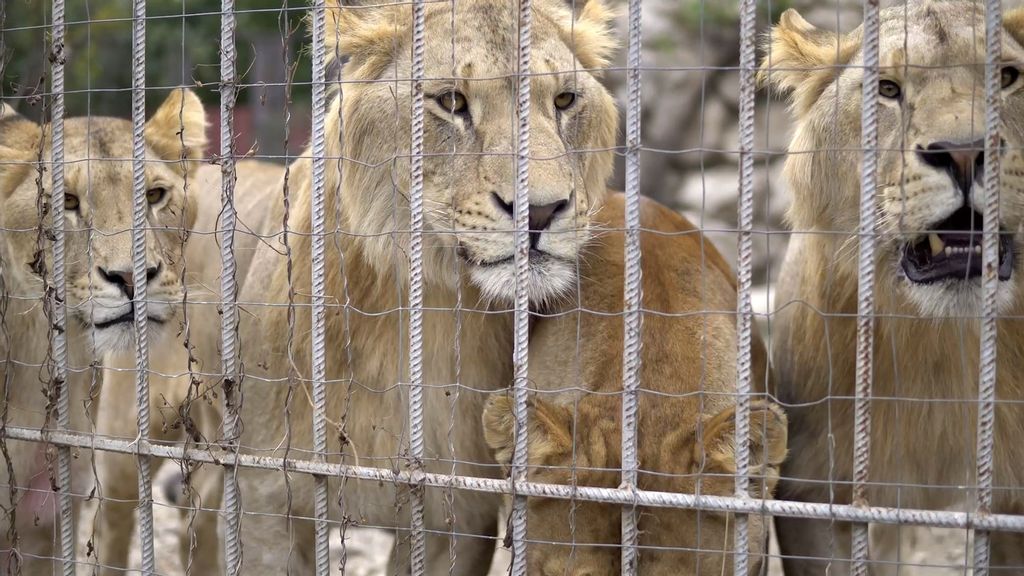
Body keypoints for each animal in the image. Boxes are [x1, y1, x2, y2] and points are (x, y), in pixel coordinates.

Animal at [225, 1, 618, 569]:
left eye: (564, 100)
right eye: (452, 102)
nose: (542, 211)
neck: (418, 312)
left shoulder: (453, 512)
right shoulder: (264, 495)